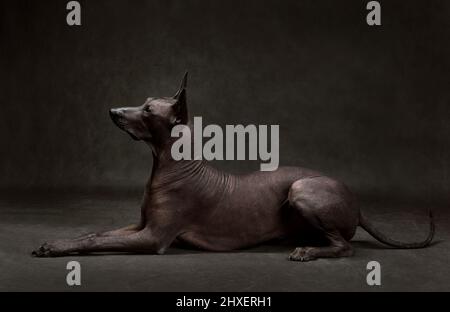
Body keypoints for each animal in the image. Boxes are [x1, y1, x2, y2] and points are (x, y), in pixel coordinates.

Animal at [31, 73, 432, 260]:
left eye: (146, 110)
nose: (113, 111)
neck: (170, 167)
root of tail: (358, 205)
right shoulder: (140, 225)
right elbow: (95, 234)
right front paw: (59, 242)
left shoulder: (153, 237)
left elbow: (100, 241)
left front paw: (54, 248)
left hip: (301, 188)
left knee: (345, 247)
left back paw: (309, 251)